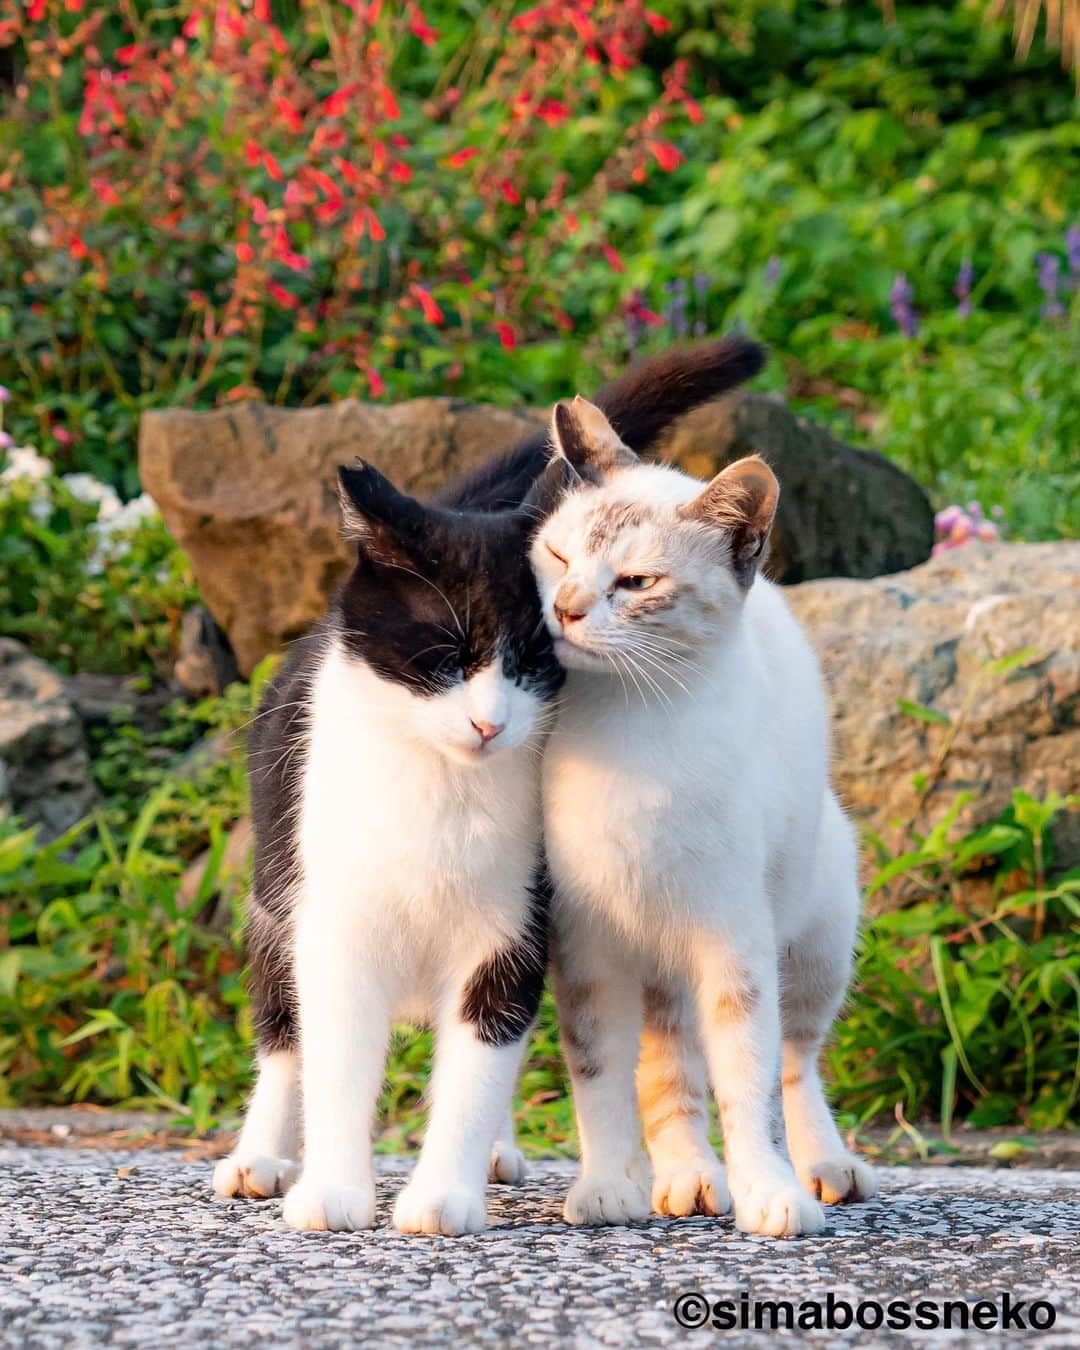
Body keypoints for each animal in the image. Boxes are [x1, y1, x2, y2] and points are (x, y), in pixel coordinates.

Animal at [214, 340, 761, 1236]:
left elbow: (481, 1054)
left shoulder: (514, 923)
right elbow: (335, 1055)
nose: (488, 724)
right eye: (444, 657)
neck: (442, 792)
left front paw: (443, 1195)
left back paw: (494, 1152)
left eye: (535, 665)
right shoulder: (334, 922)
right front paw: (333, 1191)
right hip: (278, 881)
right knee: (283, 1030)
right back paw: (259, 1156)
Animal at [531, 396, 874, 1236]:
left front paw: (769, 1193)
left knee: (797, 1059)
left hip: (818, 936)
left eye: (634, 581)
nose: (564, 609)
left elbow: (749, 1077)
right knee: (665, 1065)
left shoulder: (733, 938)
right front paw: (606, 1183)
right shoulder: (584, 941)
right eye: (556, 556)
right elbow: (598, 1072)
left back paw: (819, 1165)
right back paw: (673, 1174)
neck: (632, 729)